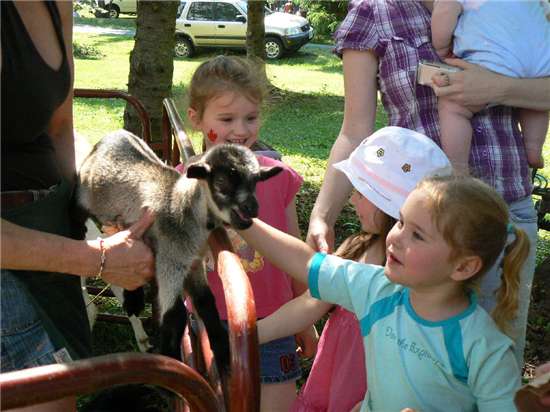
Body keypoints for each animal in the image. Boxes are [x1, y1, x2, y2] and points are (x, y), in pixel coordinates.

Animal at [76, 130, 284, 376]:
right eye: (221, 183)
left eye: (255, 182)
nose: (252, 209)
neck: (183, 206)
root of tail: (112, 135)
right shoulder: (171, 259)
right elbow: (175, 315)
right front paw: (170, 364)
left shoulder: (192, 263)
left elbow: (205, 301)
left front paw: (223, 354)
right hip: (84, 197)